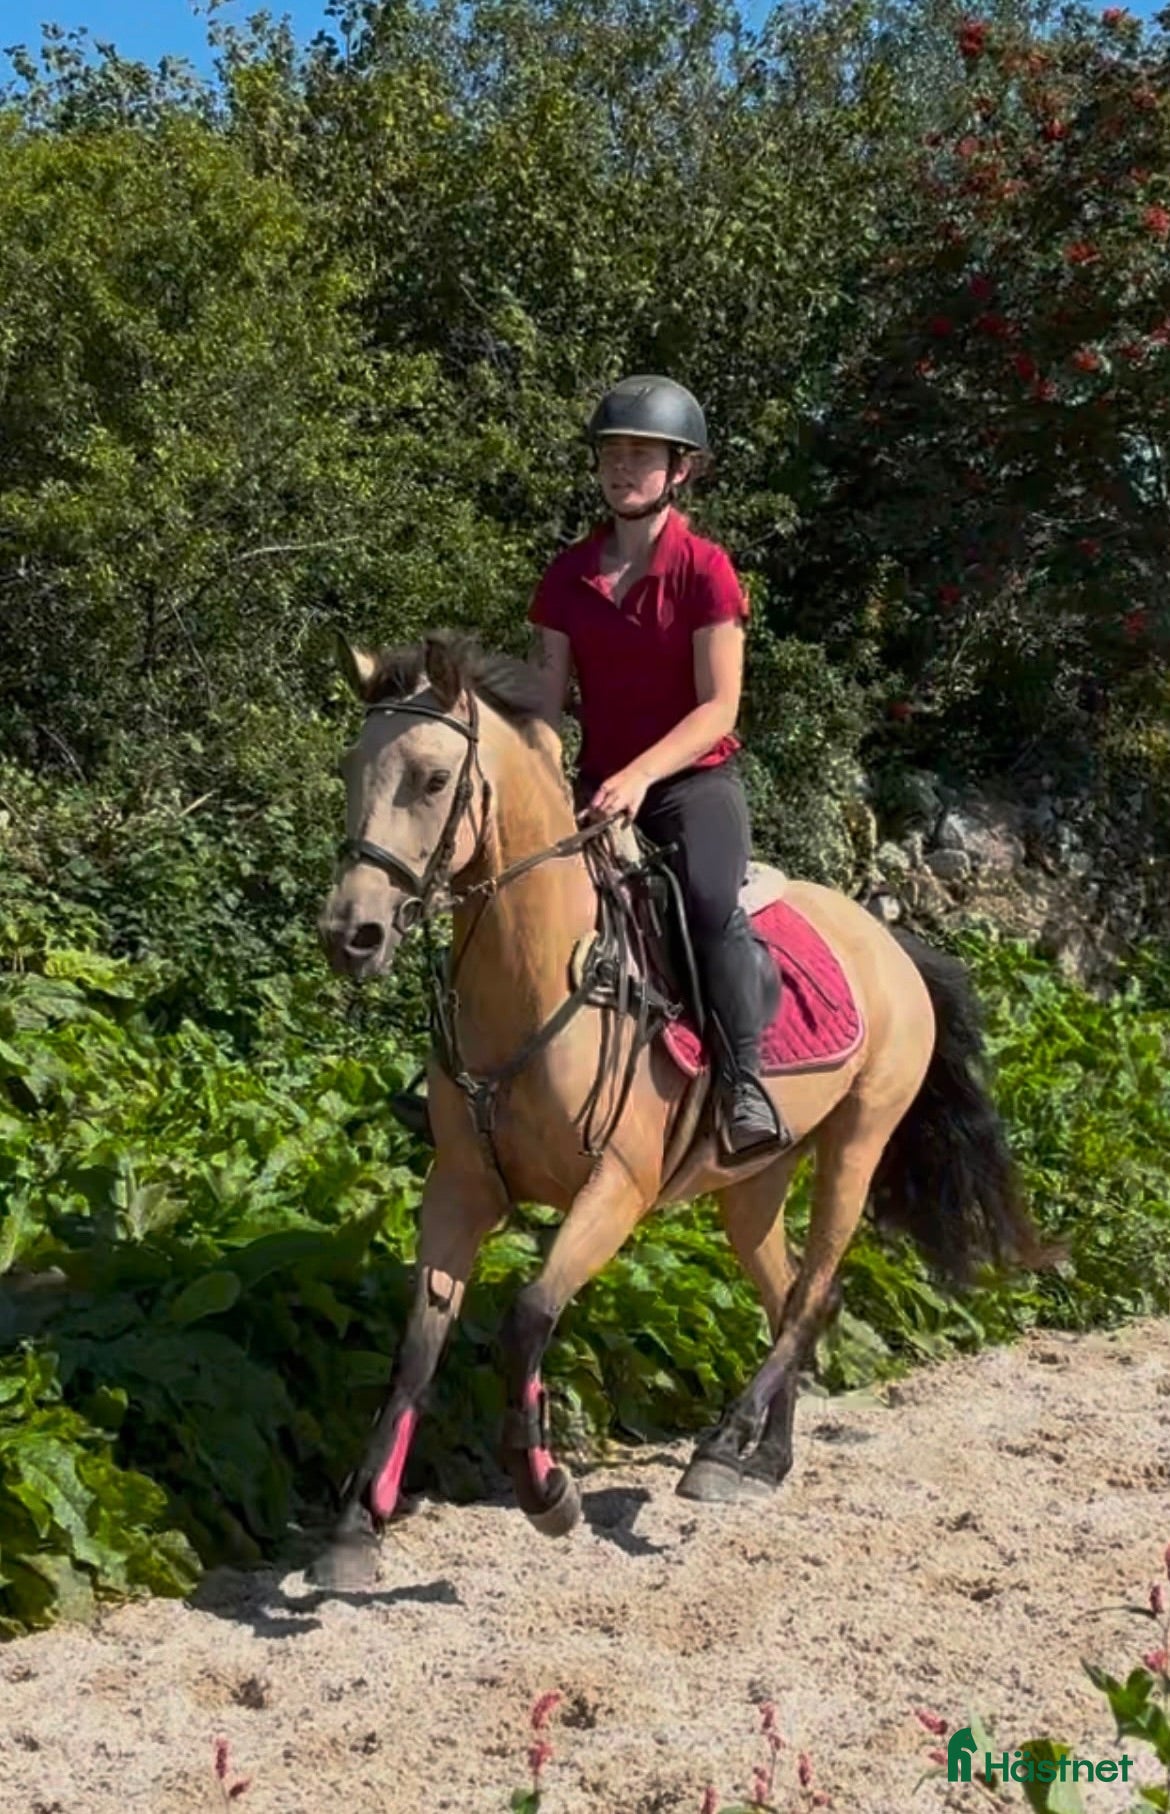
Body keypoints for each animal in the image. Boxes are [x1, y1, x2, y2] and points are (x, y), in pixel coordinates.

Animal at [311, 627, 1061, 1588]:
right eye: (351, 767)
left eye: (434, 779)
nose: (351, 934)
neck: (539, 976)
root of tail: (890, 940)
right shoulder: (460, 1190)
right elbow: (416, 1347)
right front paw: (353, 1528)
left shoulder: (616, 1190)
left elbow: (528, 1316)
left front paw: (545, 1489)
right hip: (754, 1183)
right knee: (798, 1294)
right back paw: (762, 1458)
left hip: (857, 1145)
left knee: (812, 1289)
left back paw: (721, 1445)